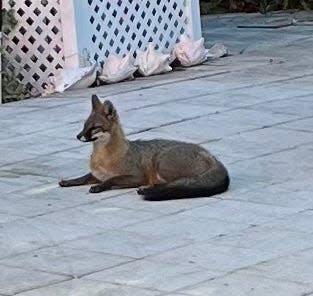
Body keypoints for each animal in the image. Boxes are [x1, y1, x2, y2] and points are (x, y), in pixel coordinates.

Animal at [59, 95, 229, 201]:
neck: (102, 157)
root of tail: (211, 156)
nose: (78, 136)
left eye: (94, 128)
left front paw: (99, 187)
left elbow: (111, 179)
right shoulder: (96, 174)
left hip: (162, 163)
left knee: (175, 184)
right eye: (84, 126)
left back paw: (147, 190)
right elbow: (84, 177)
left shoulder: (136, 176)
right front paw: (68, 181)